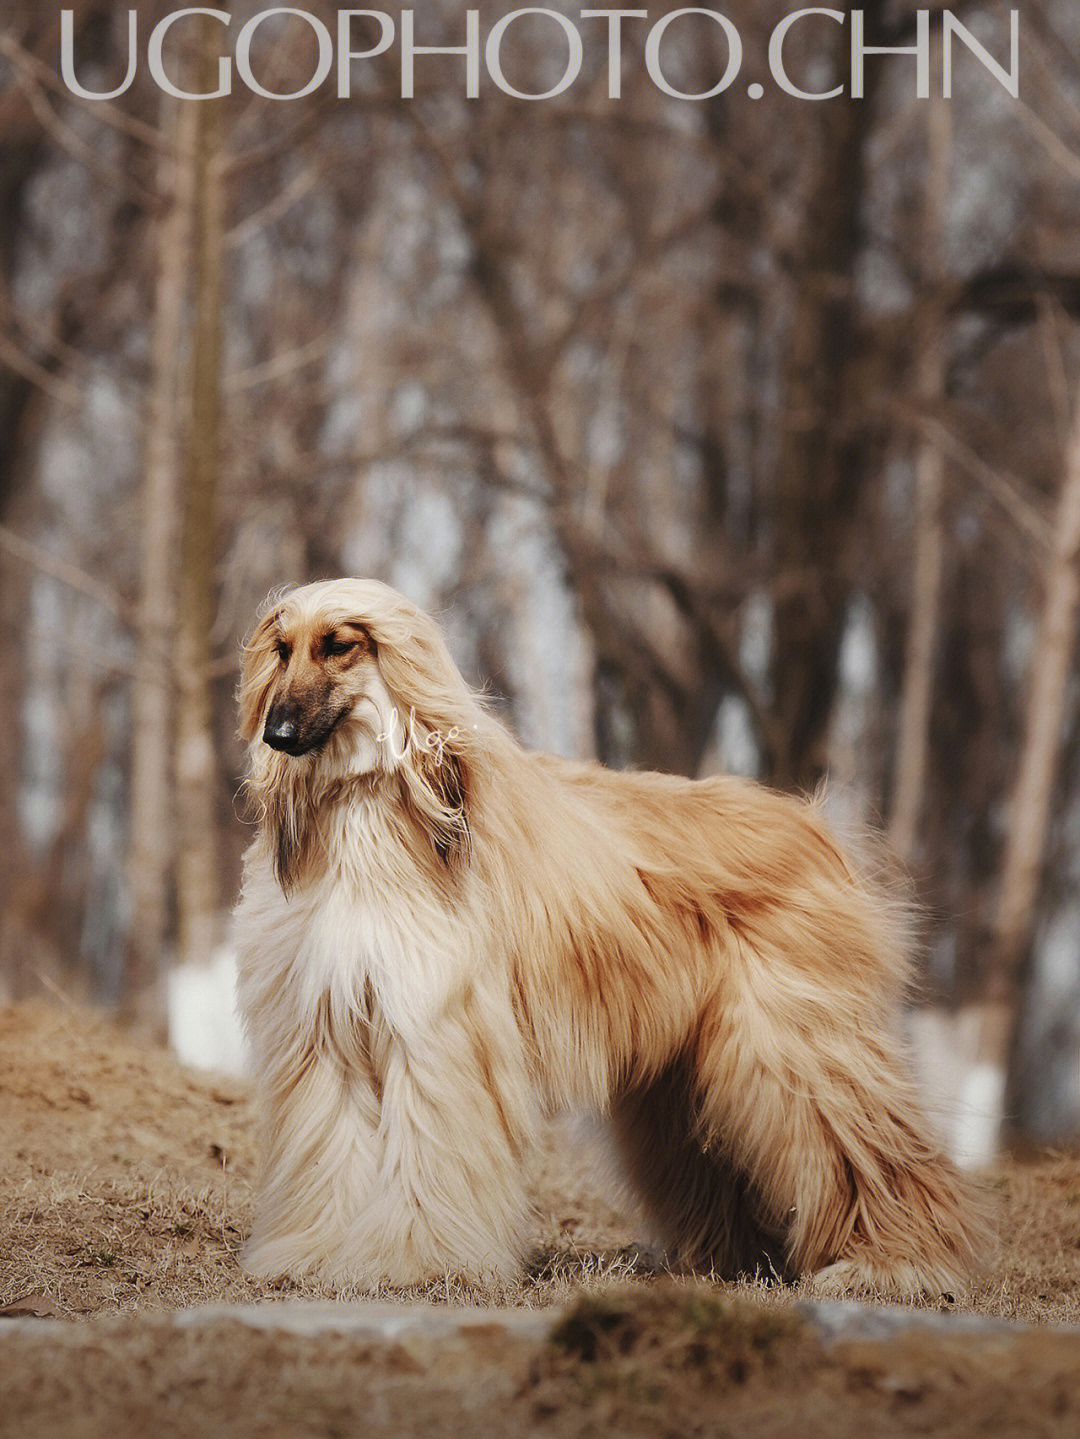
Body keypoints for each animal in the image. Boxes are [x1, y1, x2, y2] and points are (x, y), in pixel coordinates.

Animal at [232, 578, 983, 1300]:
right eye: (282, 650)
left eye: (339, 645)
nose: (277, 732)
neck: (370, 815)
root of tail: (815, 824)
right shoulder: (326, 1027)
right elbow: (331, 1148)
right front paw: (317, 1253)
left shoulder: (436, 1029)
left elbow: (429, 1149)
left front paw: (412, 1261)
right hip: (685, 1070)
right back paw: (731, 1264)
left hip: (790, 1039)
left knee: (868, 1146)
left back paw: (897, 1264)